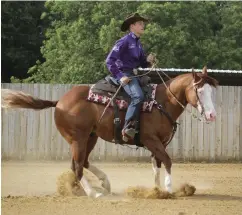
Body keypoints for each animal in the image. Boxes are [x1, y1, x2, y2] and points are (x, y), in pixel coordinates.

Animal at [1, 66, 217, 198]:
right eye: (200, 91)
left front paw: (156, 190)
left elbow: (157, 165)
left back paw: (103, 183)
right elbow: (167, 161)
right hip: (78, 139)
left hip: (91, 137)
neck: (161, 103)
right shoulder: (151, 140)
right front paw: (169, 190)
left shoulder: (160, 143)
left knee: (82, 162)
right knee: (77, 166)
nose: (212, 115)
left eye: (211, 91)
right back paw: (93, 193)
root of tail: (59, 102)